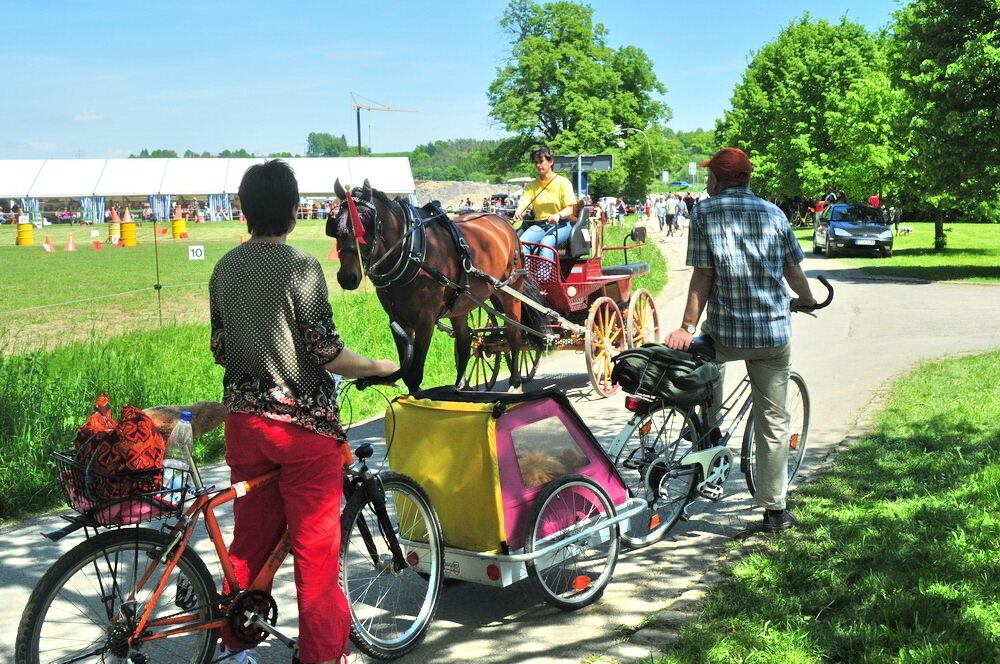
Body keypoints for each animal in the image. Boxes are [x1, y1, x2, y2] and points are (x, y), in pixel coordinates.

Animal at [328, 179, 544, 392]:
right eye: (335, 226)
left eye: (365, 226)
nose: (347, 277)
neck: (412, 252)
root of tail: (505, 223)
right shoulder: (397, 322)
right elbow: (408, 371)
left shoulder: (425, 321)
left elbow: (414, 374)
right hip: (461, 304)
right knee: (465, 343)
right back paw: (460, 387)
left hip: (511, 292)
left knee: (513, 335)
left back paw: (515, 382)